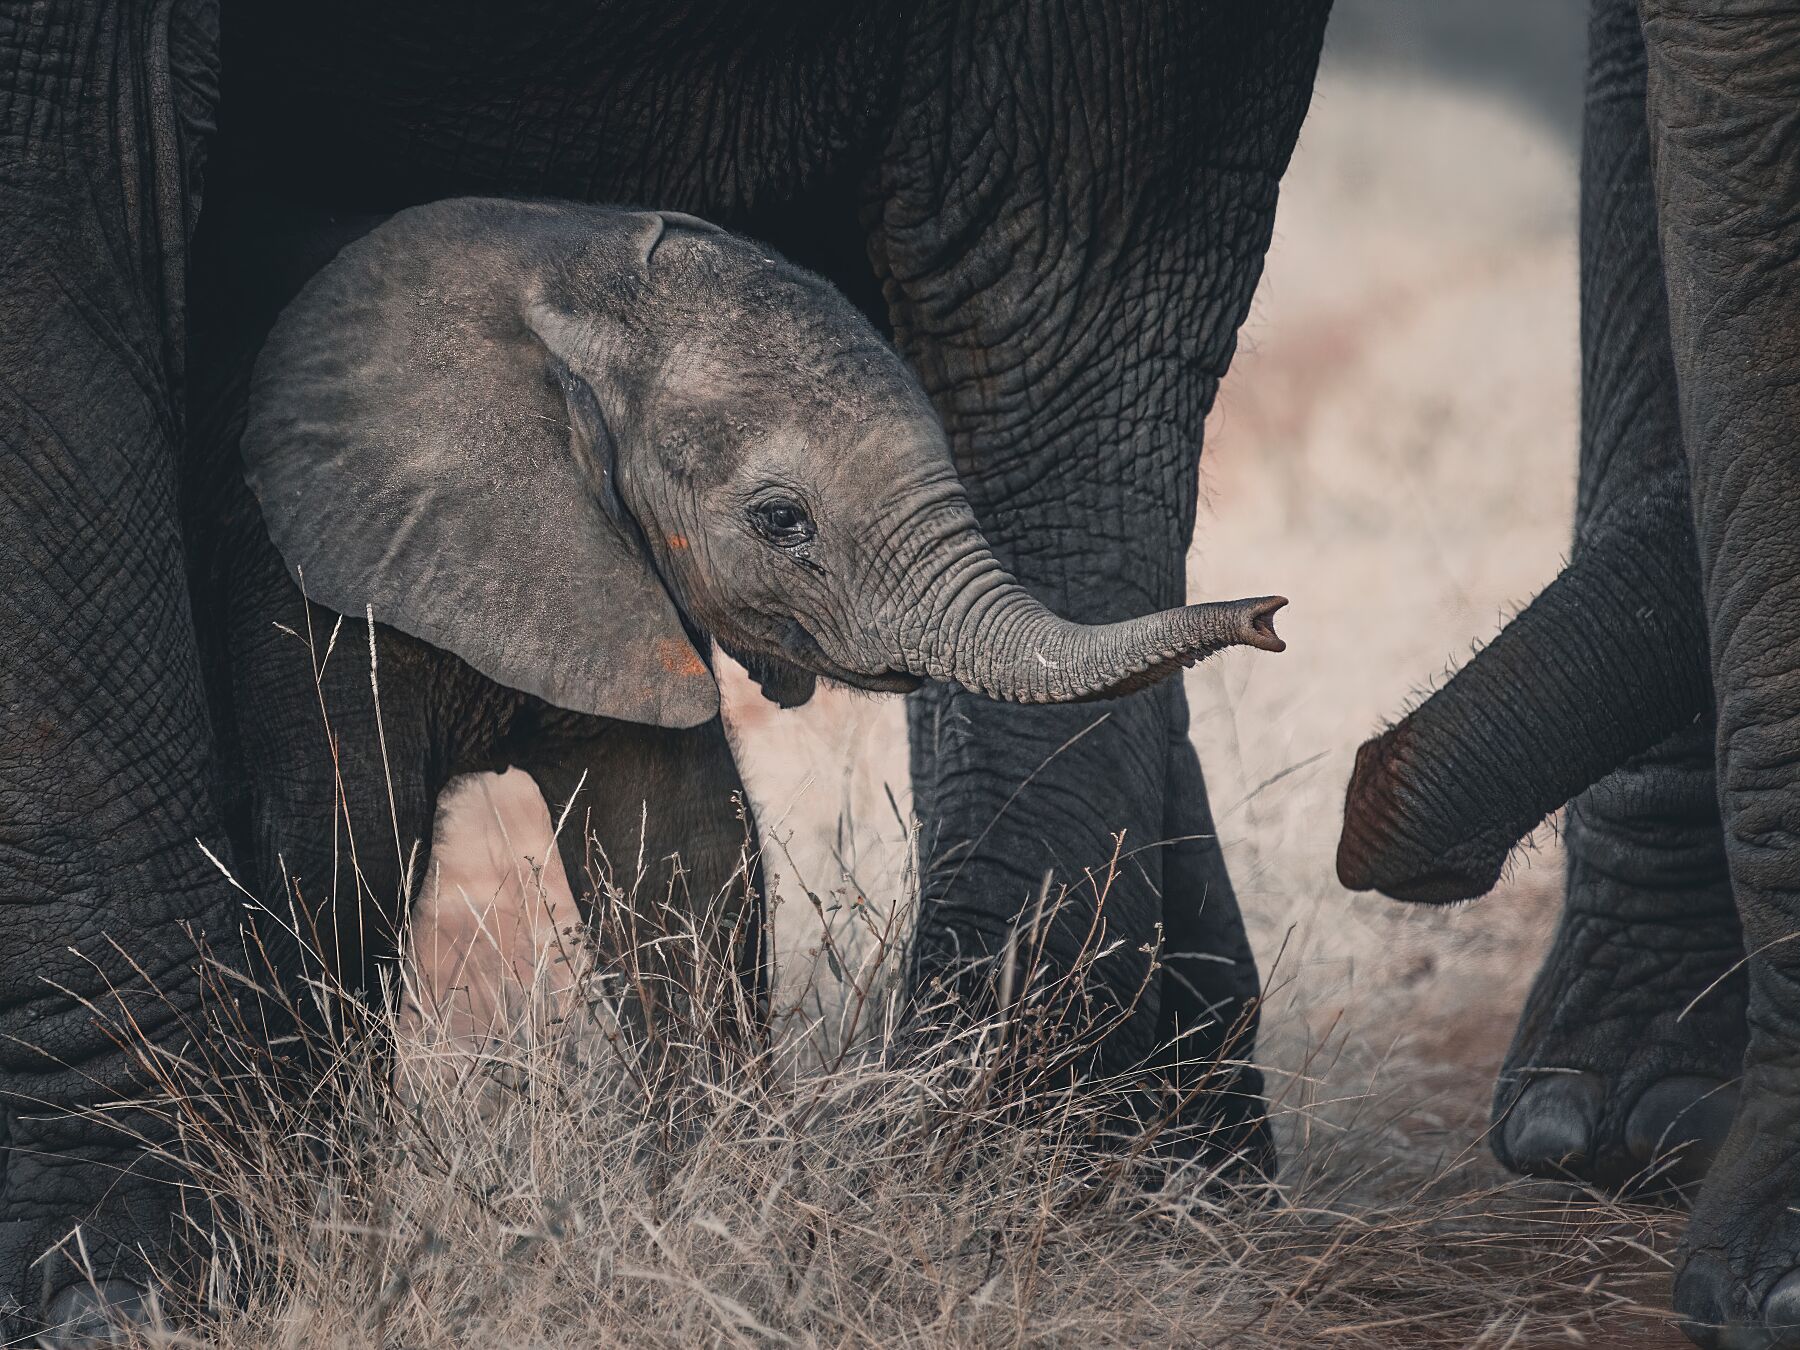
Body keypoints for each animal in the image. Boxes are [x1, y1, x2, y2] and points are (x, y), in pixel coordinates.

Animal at [1, 1, 1331, 1334]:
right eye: (782, 519)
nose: (1272, 616)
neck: (558, 293)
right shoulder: (301, 568)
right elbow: (337, 859)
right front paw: (309, 1218)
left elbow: (679, 860)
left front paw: (720, 1213)